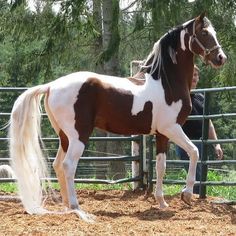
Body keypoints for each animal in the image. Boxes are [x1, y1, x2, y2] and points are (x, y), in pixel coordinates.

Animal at [9, 13, 227, 221]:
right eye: (204, 33)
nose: (221, 58)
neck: (166, 82)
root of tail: (51, 85)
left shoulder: (161, 134)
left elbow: (161, 167)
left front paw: (162, 202)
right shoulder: (171, 128)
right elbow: (194, 152)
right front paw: (187, 195)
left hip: (65, 137)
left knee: (57, 165)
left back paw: (66, 206)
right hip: (79, 136)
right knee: (68, 165)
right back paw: (76, 207)